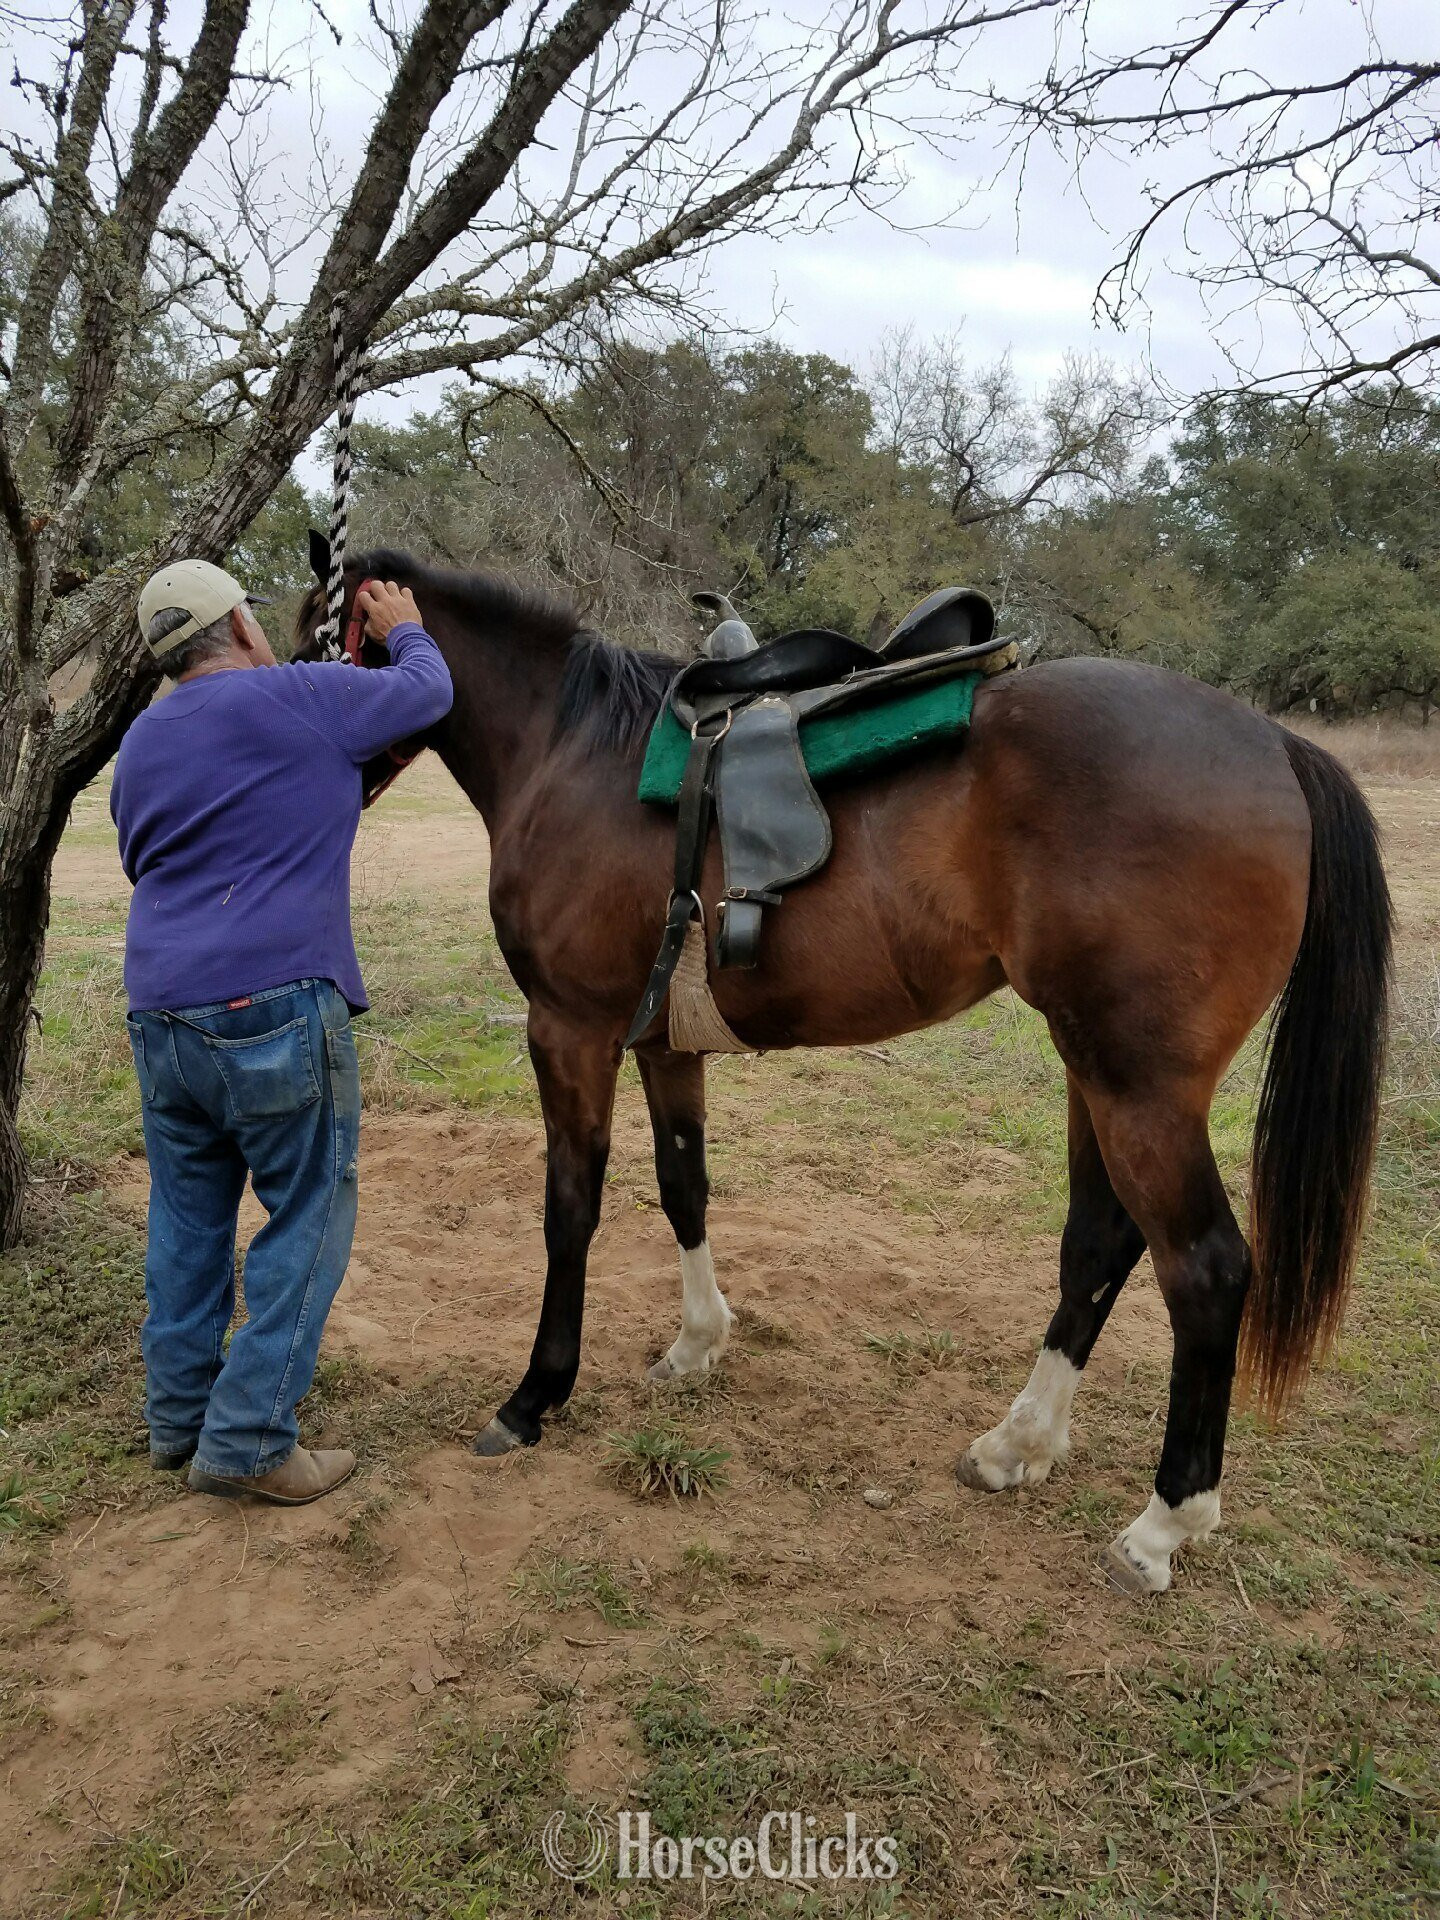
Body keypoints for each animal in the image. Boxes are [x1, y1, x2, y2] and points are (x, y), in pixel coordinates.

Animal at [295, 543, 1391, 1596]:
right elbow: (684, 1186)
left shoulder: (568, 1031)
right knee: (1099, 1244)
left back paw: (1163, 1525)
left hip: (1139, 1090)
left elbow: (571, 1210)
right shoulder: (662, 1042)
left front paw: (536, 1394)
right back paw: (1019, 1443)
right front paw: (697, 1344)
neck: (574, 754)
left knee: (1205, 1272)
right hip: (1102, 1076)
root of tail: (1274, 745)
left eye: (315, 631)